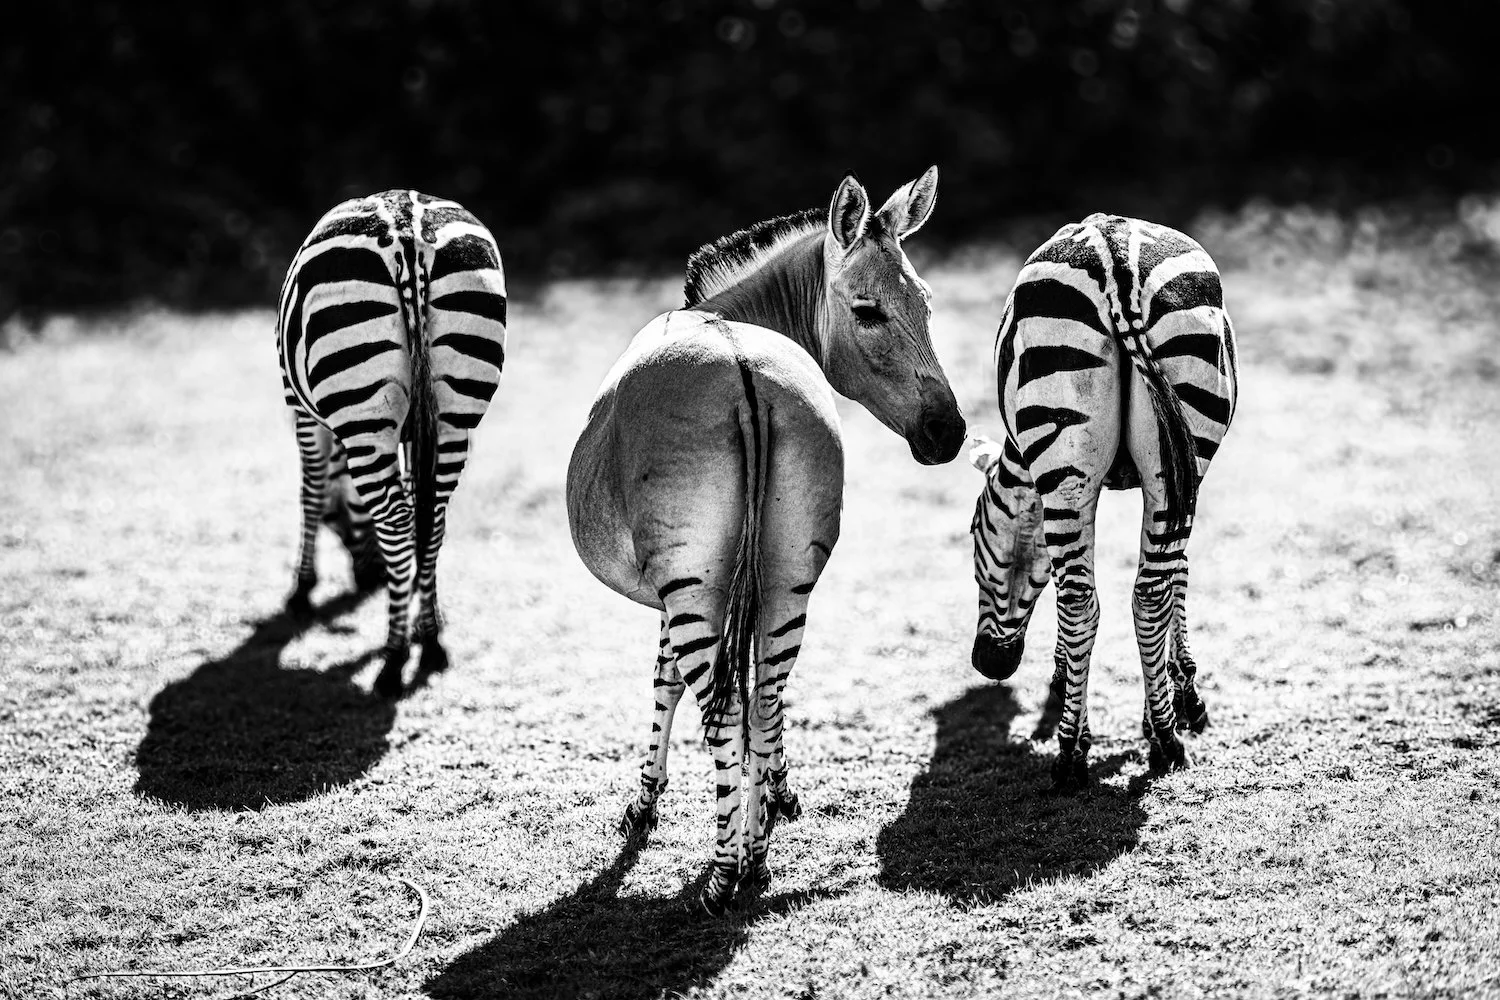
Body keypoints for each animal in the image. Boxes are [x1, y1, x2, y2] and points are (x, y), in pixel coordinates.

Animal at [276, 189, 507, 697]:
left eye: (338, 520)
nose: (367, 582)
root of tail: (408, 232)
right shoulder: (417, 432)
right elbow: (416, 501)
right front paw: (430, 616)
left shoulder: (299, 407)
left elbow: (310, 489)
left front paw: (302, 589)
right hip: (455, 413)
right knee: (432, 519)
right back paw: (432, 643)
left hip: (363, 414)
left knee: (398, 521)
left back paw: (394, 659)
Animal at [567, 168, 966, 914]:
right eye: (869, 311)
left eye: (925, 306)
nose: (949, 433)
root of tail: (742, 371)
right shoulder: (744, 582)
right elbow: (754, 689)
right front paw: (778, 794)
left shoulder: (675, 591)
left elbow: (665, 683)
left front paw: (644, 805)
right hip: (789, 573)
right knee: (765, 696)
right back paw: (754, 862)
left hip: (694, 584)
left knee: (725, 712)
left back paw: (727, 874)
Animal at [967, 213, 1238, 788]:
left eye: (973, 538)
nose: (989, 665)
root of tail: (1116, 260)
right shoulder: (1181, 481)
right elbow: (1175, 576)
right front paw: (1178, 699)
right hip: (1163, 456)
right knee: (1136, 595)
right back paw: (1154, 742)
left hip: (1079, 467)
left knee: (1090, 599)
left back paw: (1083, 750)